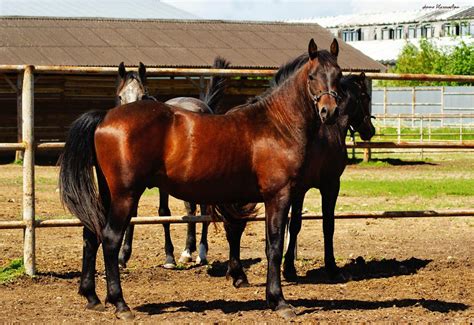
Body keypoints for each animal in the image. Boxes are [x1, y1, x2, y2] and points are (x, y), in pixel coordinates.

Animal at [116, 58, 231, 268]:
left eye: (142, 95)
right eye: (121, 97)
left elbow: (164, 212)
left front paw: (169, 257)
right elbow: (133, 213)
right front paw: (123, 256)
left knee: (203, 210)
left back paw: (200, 252)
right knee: (191, 208)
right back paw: (188, 251)